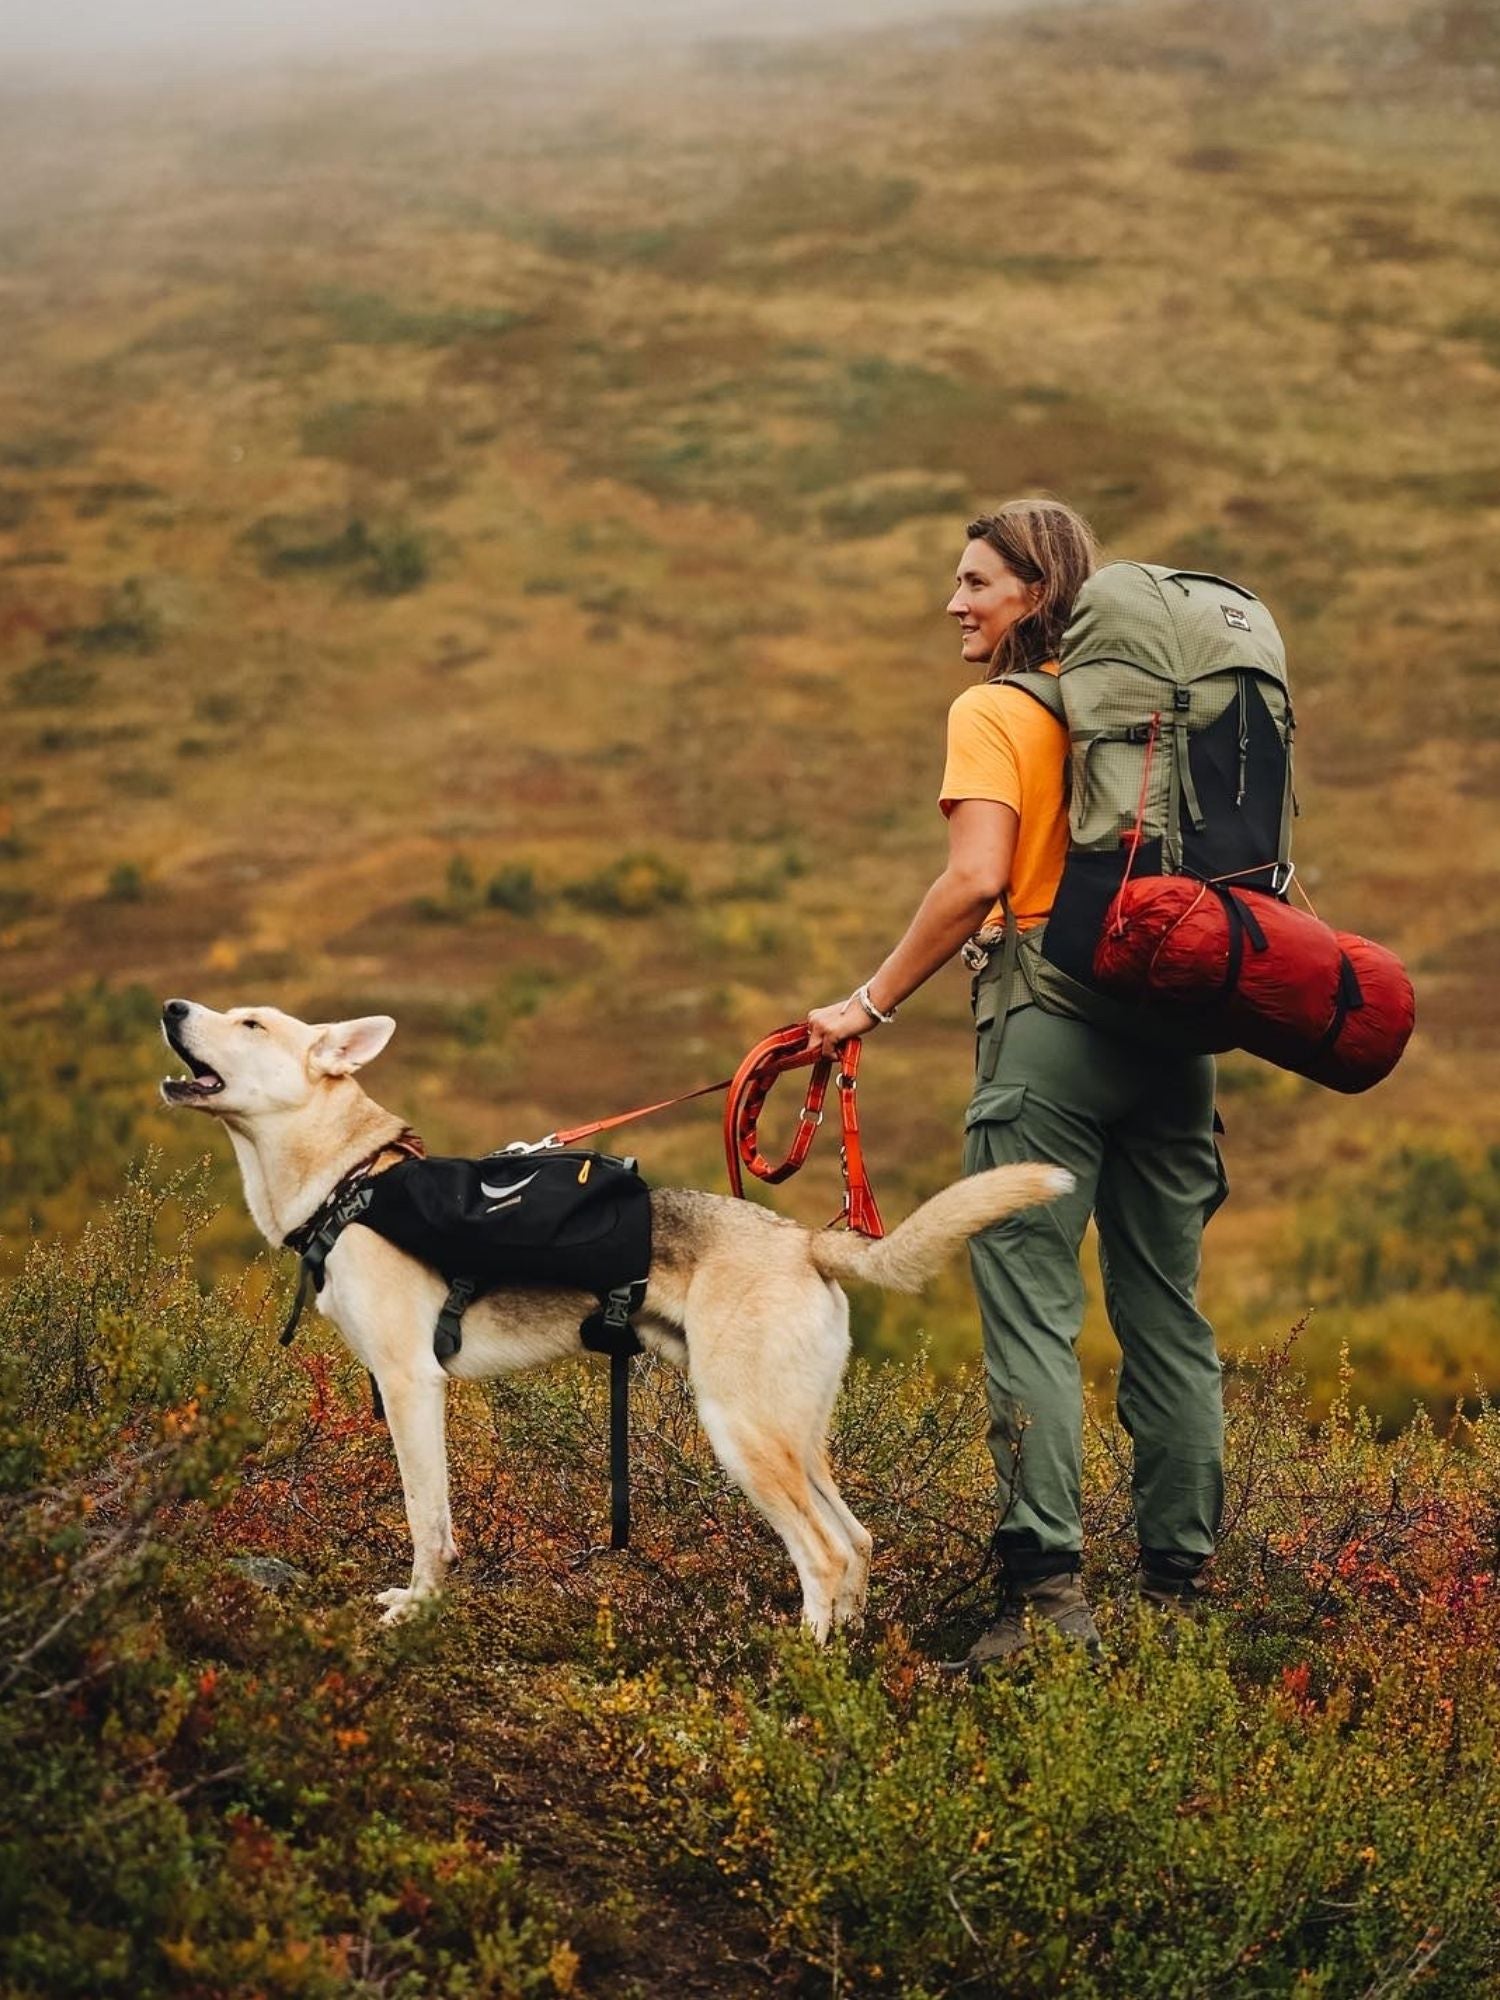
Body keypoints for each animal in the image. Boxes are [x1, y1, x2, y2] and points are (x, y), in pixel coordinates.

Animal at [162, 1000, 1072, 1640]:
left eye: (250, 1022)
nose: (170, 1007)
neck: (351, 1179)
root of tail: (805, 1241)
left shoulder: (411, 1385)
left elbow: (428, 1522)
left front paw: (418, 1609)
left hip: (741, 1430)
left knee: (822, 1551)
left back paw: (802, 1660)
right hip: (792, 1432)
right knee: (857, 1543)